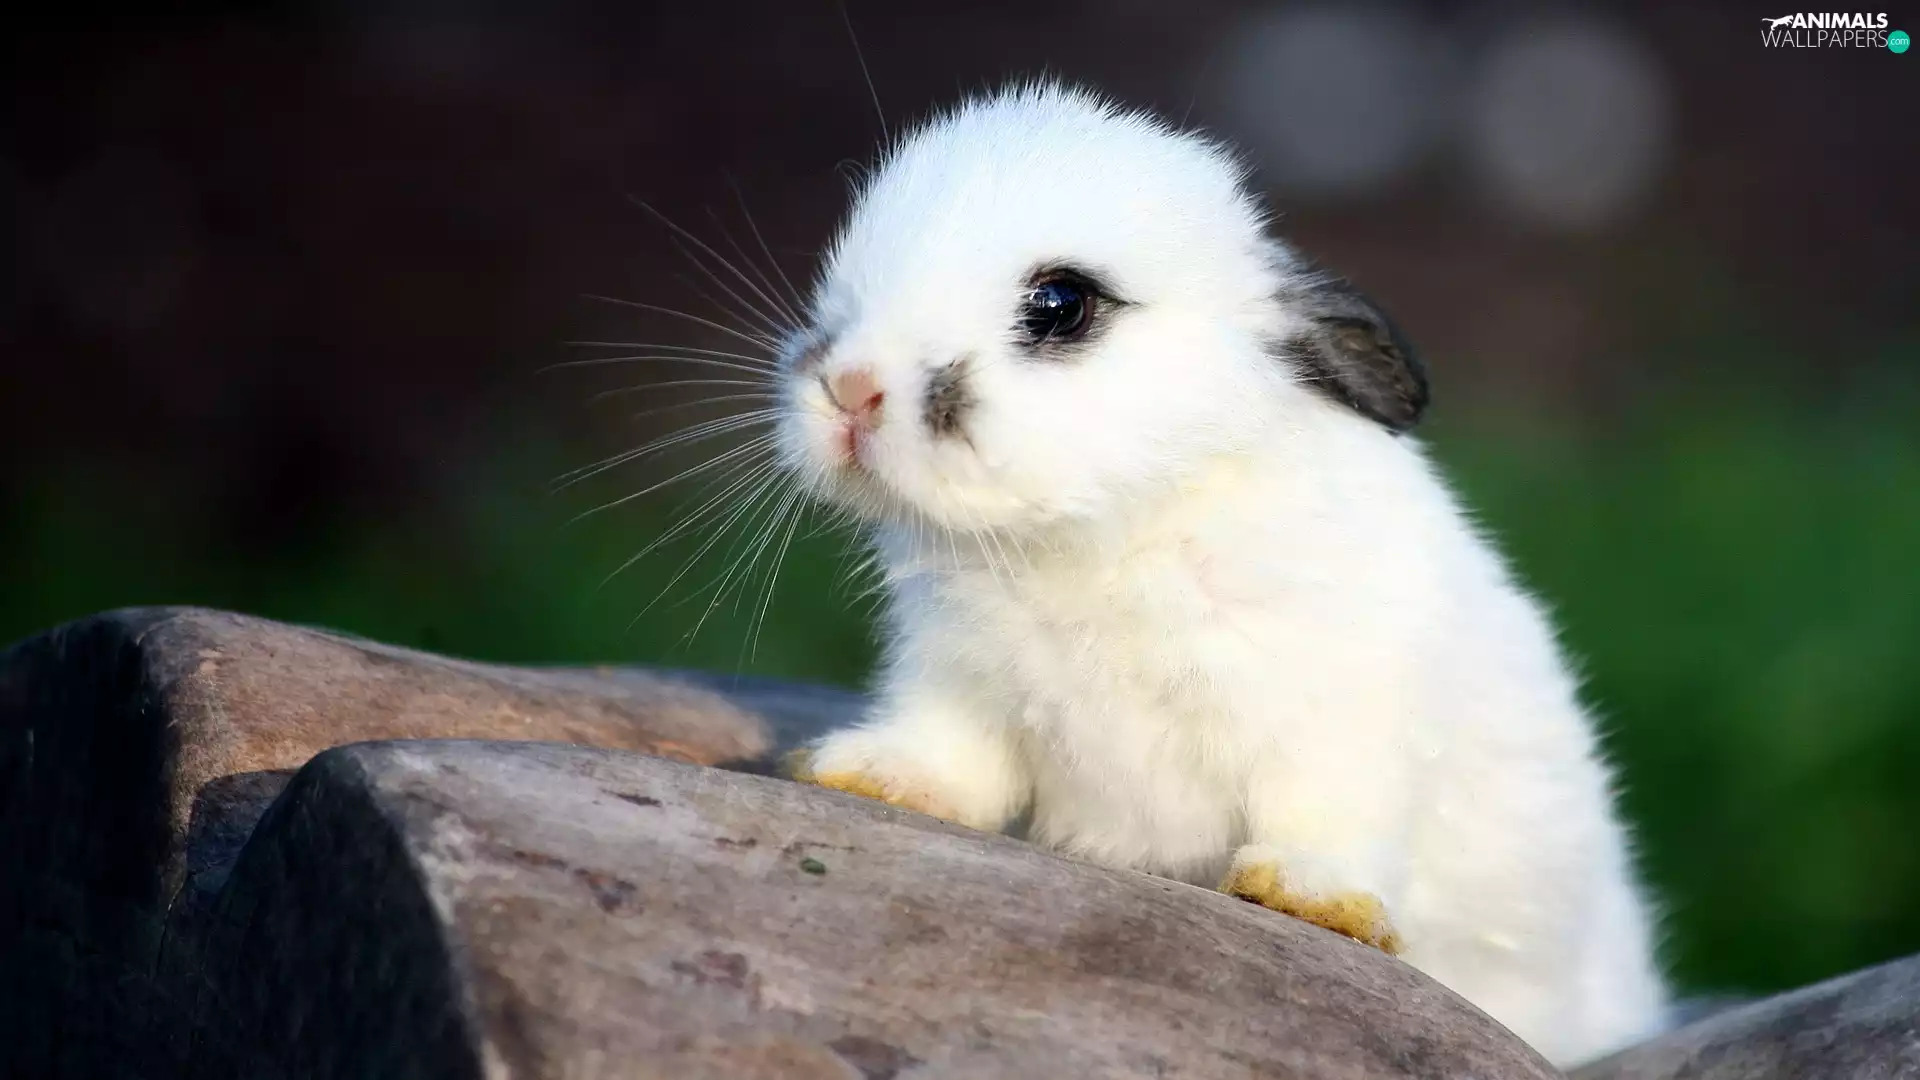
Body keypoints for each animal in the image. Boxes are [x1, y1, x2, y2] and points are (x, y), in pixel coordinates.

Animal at [771, 80, 1669, 1068]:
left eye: (1060, 304)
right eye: (847, 275)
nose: (851, 388)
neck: (1105, 533)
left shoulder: (1337, 717)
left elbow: (1327, 811)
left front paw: (1308, 897)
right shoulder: (957, 683)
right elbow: (951, 759)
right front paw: (867, 774)